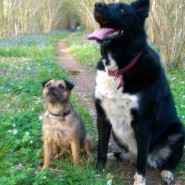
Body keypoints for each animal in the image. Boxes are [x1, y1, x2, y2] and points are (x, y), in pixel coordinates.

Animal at [85, 0, 185, 184]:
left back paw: (167, 173)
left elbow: (141, 161)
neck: (118, 70)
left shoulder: (143, 123)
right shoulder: (102, 117)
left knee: (161, 162)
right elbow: (101, 148)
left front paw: (140, 180)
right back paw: (115, 154)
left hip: (177, 133)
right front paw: (98, 171)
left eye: (123, 10)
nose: (98, 5)